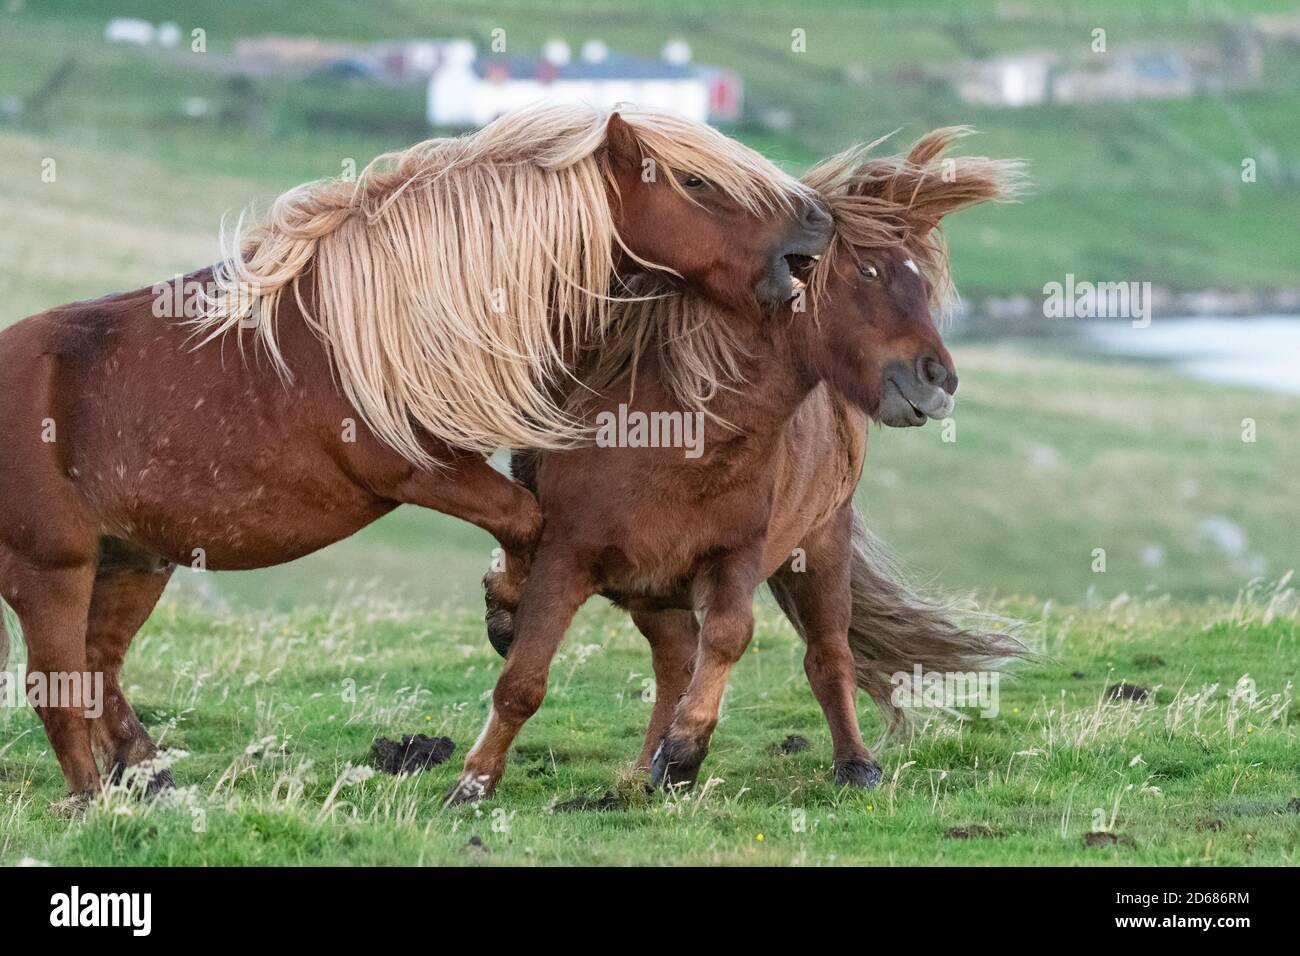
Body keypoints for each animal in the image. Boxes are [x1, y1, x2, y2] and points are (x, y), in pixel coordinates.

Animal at [0, 103, 832, 801]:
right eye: (695, 181)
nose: (817, 226)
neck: (397, 313)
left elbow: (527, 523)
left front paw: (504, 607)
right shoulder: (417, 471)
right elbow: (528, 522)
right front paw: (507, 613)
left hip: (134, 559)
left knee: (99, 664)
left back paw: (150, 777)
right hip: (52, 567)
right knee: (56, 680)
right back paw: (90, 801)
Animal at [456, 129, 1024, 803]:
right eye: (869, 271)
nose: (939, 381)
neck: (683, 437)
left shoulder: (735, 558)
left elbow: (731, 636)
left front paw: (682, 754)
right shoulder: (567, 556)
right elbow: (523, 677)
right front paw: (474, 781)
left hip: (817, 546)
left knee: (824, 656)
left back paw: (851, 763)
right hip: (654, 586)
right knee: (672, 660)